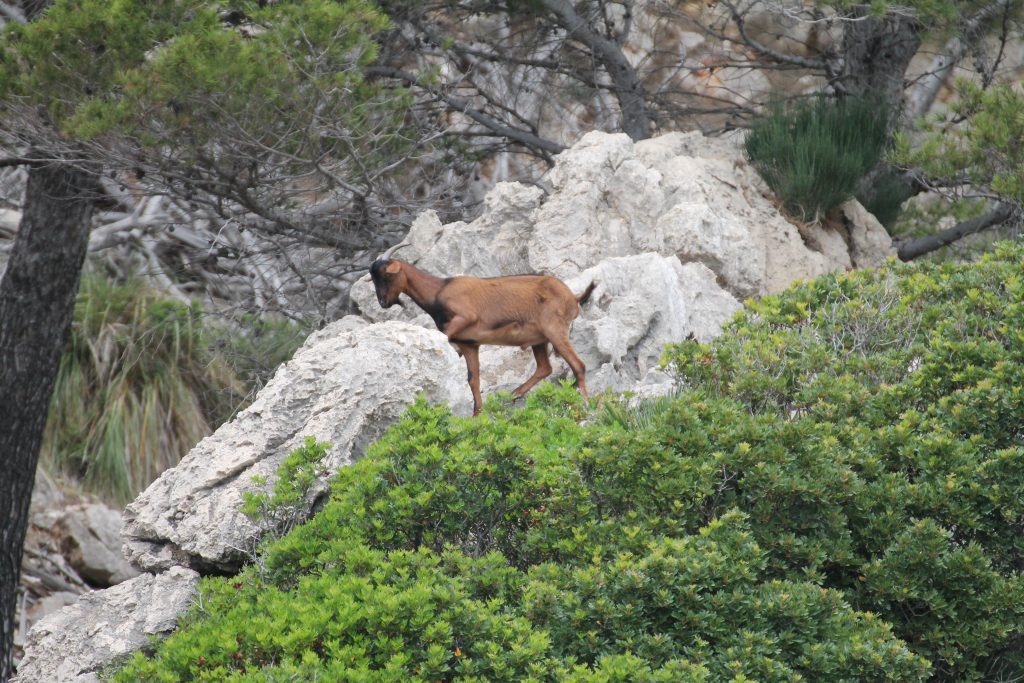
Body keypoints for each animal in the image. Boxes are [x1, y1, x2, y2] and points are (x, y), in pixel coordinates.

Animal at [370, 245, 598, 417]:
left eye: (387, 276)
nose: (383, 303)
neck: (438, 290)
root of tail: (573, 297)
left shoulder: (466, 316)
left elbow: (447, 337)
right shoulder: (470, 344)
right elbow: (473, 379)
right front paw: (477, 414)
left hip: (555, 331)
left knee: (578, 365)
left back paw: (586, 404)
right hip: (539, 340)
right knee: (544, 368)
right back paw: (514, 394)